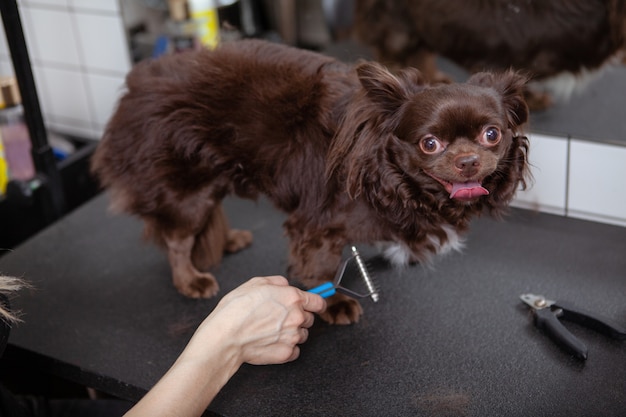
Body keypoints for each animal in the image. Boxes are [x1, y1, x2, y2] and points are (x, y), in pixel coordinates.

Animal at [89, 39, 528, 324]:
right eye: (430, 143)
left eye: (492, 134)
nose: (468, 161)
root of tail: (138, 84)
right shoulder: (316, 224)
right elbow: (320, 268)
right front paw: (333, 305)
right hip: (188, 190)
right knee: (177, 240)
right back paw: (190, 279)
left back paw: (226, 241)